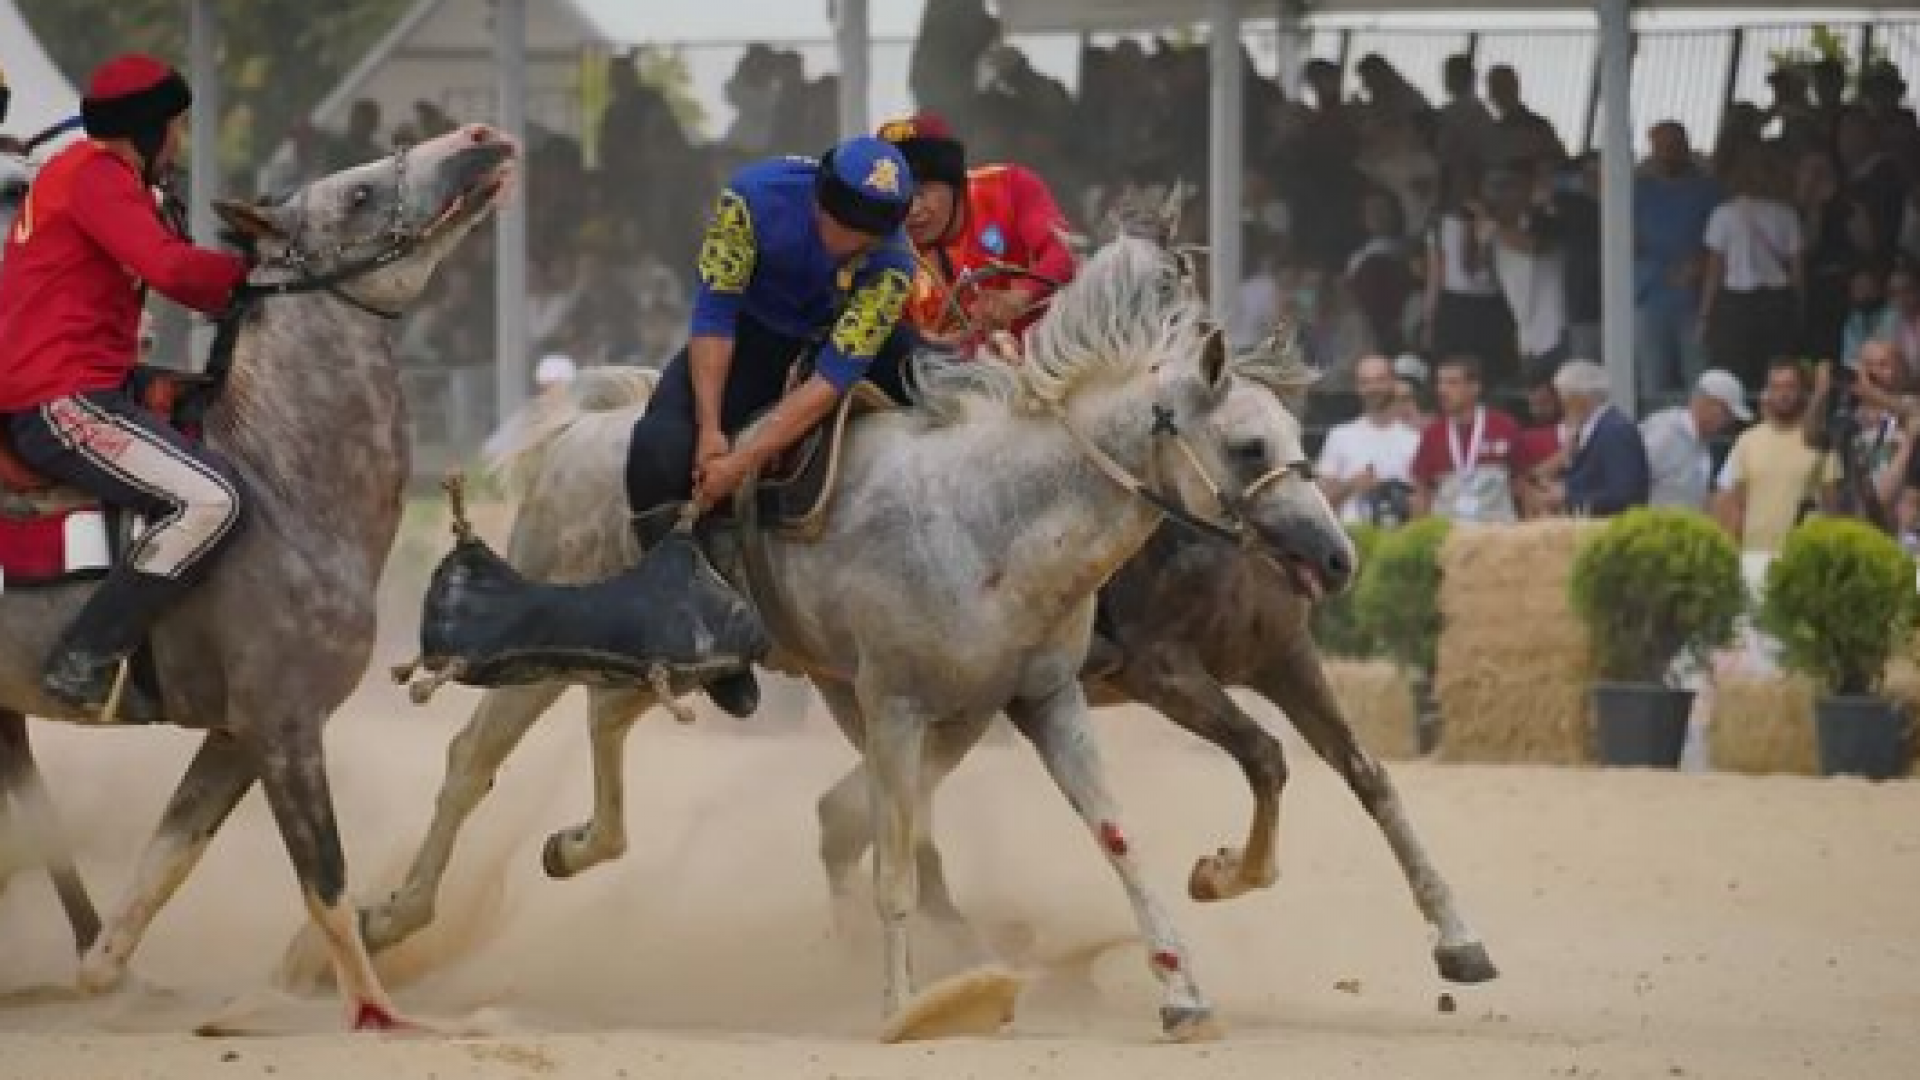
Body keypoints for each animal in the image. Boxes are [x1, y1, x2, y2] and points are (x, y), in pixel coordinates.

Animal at [0, 125, 518, 1022]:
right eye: (356, 193)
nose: (478, 140)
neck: (283, 480)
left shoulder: (236, 739)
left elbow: (164, 863)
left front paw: (109, 975)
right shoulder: (285, 726)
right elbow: (326, 879)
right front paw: (376, 1013)